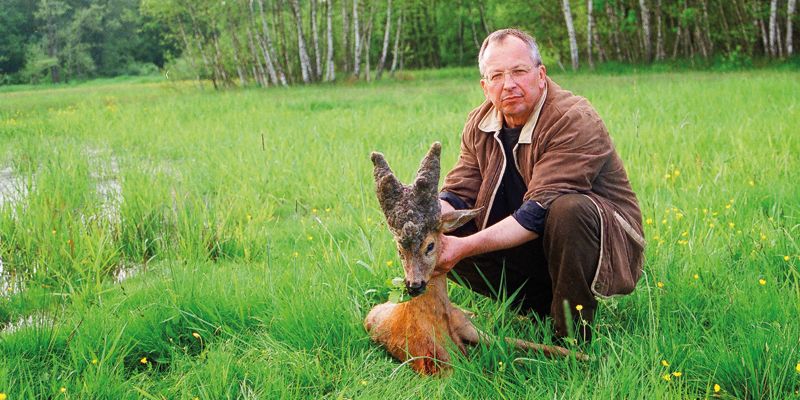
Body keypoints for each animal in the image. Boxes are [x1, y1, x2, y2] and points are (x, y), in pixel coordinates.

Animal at [364, 141, 588, 376]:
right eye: (400, 250)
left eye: (430, 245)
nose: (414, 285)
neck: (437, 321)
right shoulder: (439, 364)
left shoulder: (472, 331)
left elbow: (531, 346)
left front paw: (585, 355)